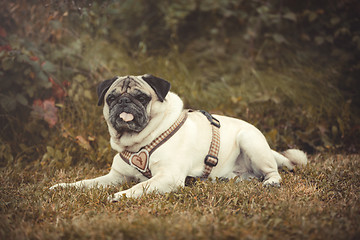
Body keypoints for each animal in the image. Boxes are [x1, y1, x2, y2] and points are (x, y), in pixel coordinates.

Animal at [50, 73, 306, 201]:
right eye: (110, 99)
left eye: (141, 98)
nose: (124, 101)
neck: (139, 144)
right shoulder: (114, 177)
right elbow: (86, 183)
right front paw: (64, 187)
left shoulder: (168, 177)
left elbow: (140, 186)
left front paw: (122, 195)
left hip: (250, 141)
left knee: (273, 172)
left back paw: (271, 182)